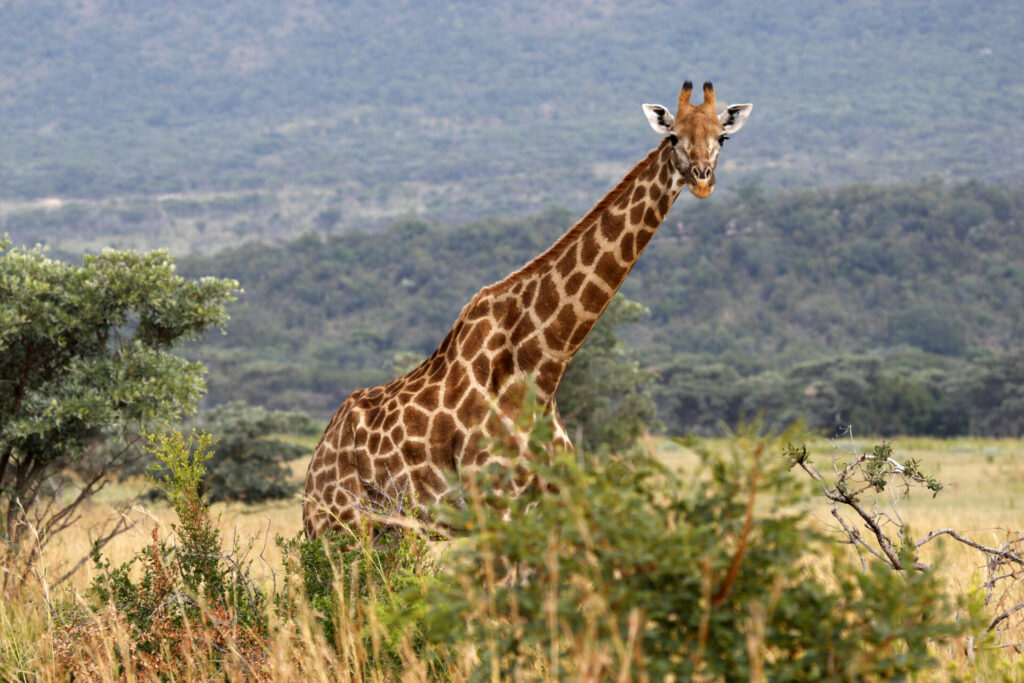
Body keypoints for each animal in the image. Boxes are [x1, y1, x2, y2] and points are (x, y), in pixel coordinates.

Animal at [303, 81, 753, 540]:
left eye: (723, 137)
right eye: (673, 137)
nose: (702, 180)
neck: (544, 364)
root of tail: (316, 458)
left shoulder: (548, 499)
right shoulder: (494, 502)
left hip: (391, 531)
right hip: (339, 525)